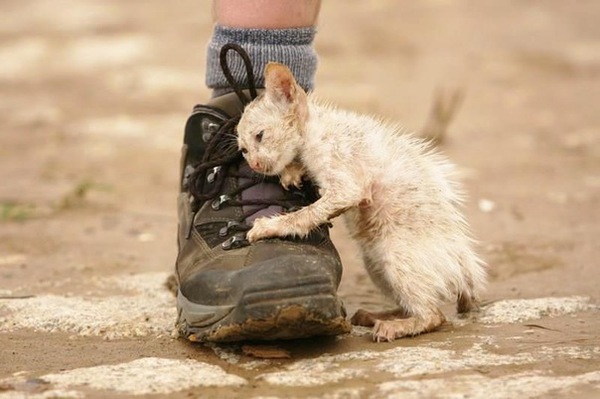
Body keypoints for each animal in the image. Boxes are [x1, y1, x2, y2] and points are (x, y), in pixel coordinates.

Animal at [236, 63, 488, 344]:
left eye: (260, 136)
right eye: (243, 150)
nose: (255, 164)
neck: (316, 128)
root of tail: (465, 271)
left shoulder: (346, 183)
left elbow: (307, 214)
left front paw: (268, 226)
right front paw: (292, 171)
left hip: (397, 255)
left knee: (433, 315)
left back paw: (394, 326)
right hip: (375, 264)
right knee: (415, 305)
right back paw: (376, 316)